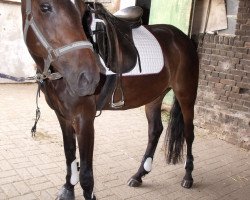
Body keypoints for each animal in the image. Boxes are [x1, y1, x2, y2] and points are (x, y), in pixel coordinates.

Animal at [20, 0, 198, 199]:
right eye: (45, 7)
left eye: (82, 10)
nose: (88, 78)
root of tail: (183, 39)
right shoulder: (63, 116)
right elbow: (70, 156)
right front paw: (67, 189)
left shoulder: (84, 119)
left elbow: (86, 174)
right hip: (154, 96)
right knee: (155, 130)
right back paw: (139, 175)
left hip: (186, 95)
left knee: (189, 133)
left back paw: (188, 176)